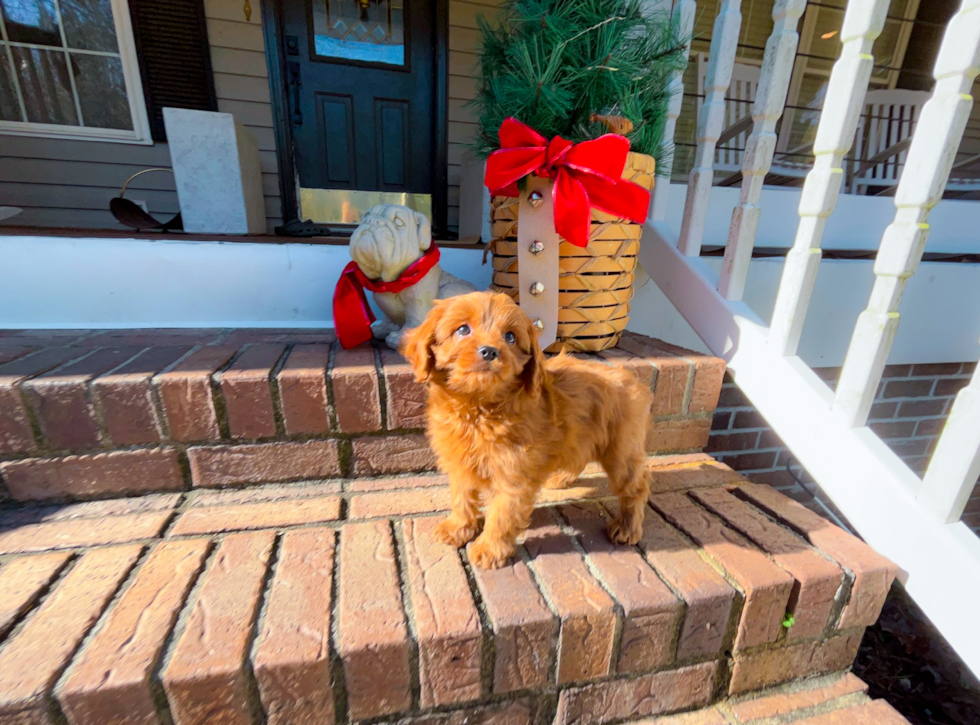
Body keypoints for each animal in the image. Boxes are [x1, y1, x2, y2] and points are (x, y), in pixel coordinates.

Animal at [402, 292, 656, 568]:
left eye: (510, 337)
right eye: (462, 330)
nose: (490, 351)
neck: (478, 408)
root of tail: (632, 379)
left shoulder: (513, 473)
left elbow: (502, 514)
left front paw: (489, 549)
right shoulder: (460, 463)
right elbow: (462, 497)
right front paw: (457, 528)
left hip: (621, 452)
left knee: (636, 487)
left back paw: (627, 527)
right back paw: (561, 478)